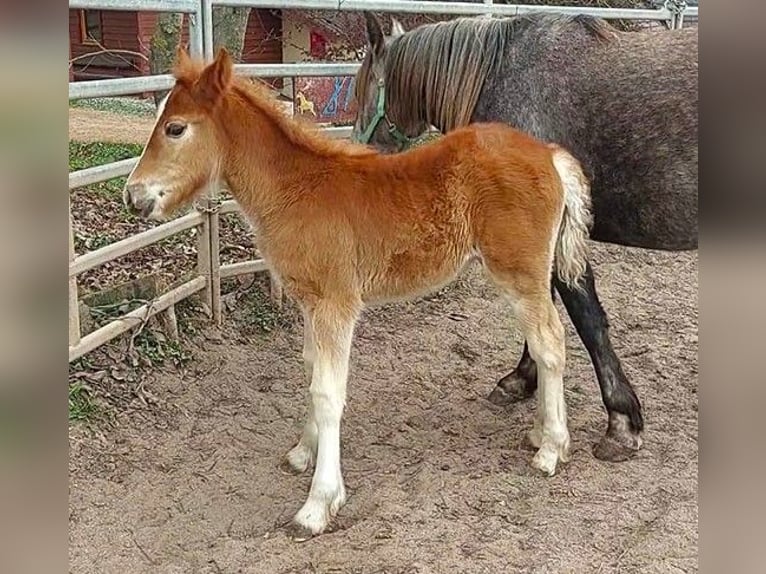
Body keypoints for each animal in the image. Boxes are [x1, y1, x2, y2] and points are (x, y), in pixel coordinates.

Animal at [124, 49, 592, 540]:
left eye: (176, 128)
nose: (132, 197)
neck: (297, 189)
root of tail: (550, 154)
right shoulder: (310, 303)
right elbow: (311, 372)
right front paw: (303, 452)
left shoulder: (337, 304)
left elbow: (329, 393)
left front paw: (318, 504)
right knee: (544, 345)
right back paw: (542, 433)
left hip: (520, 274)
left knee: (550, 344)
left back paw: (551, 449)